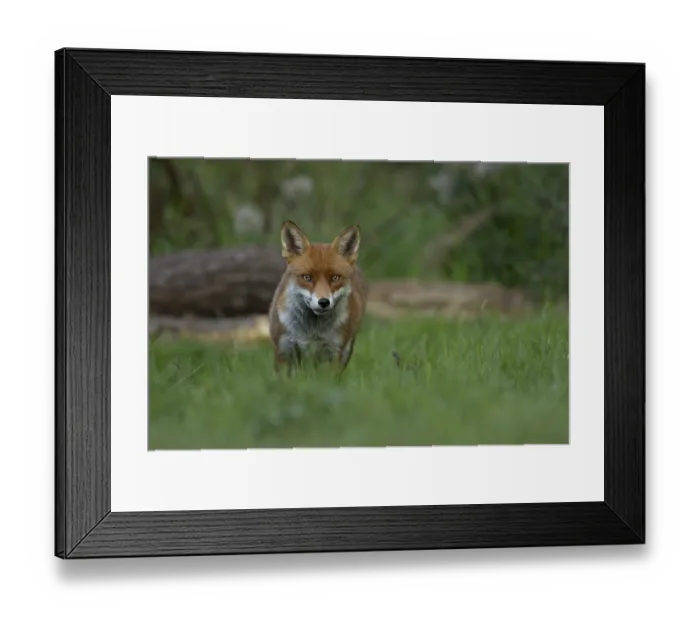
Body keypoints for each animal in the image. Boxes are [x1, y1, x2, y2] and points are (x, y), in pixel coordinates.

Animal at [268, 220, 367, 373]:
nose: (324, 302)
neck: (311, 331)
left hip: (344, 350)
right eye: (307, 277)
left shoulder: (334, 352)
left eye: (335, 278)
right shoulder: (283, 350)